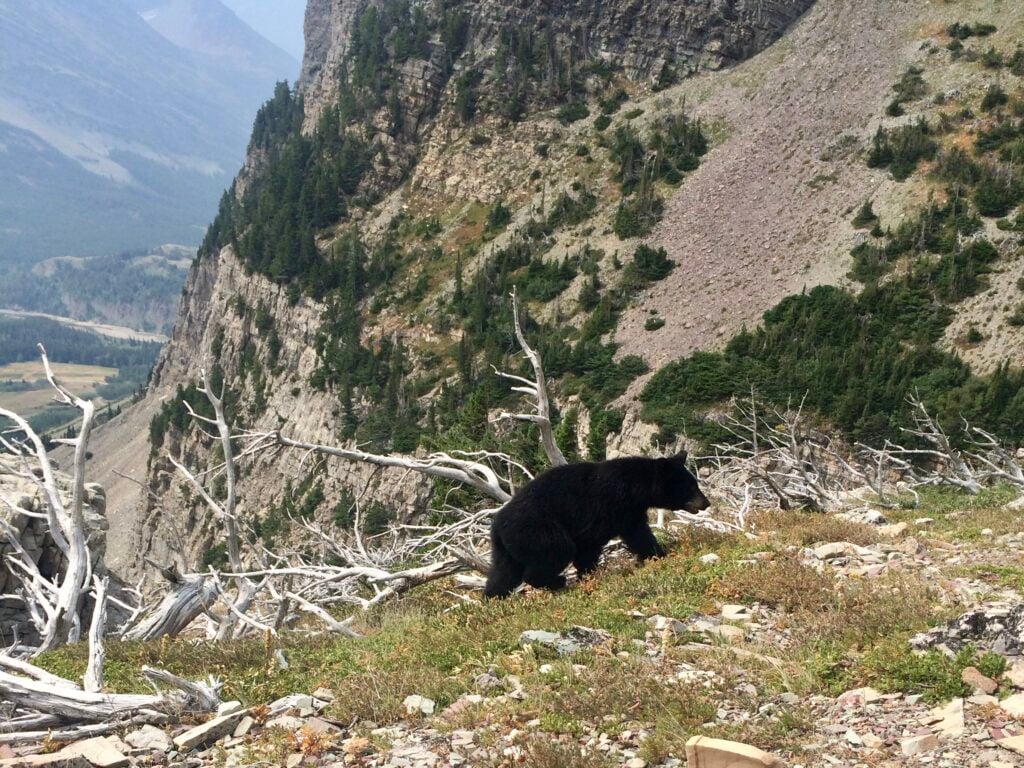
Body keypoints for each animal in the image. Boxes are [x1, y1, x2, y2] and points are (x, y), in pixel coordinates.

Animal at [484, 452, 710, 598]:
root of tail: (498, 524)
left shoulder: (595, 524)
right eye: (691, 487)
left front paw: (589, 574)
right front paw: (659, 553)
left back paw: (492, 597)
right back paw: (557, 581)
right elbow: (637, 534)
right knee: (556, 551)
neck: (637, 487)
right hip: (537, 529)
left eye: (695, 483)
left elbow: (588, 549)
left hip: (507, 547)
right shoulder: (619, 506)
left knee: (502, 574)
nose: (706, 502)